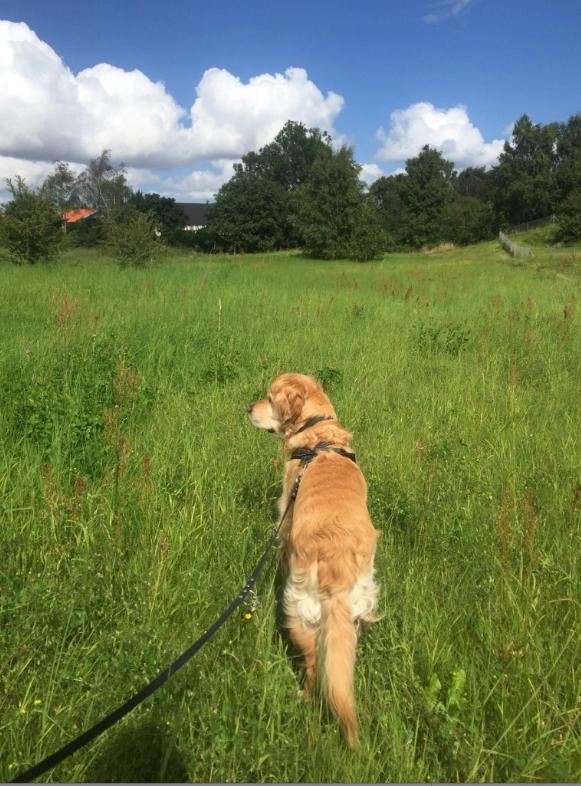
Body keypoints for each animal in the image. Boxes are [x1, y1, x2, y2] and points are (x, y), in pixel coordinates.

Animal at [247, 372, 378, 740]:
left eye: (268, 399)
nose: (248, 407)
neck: (319, 436)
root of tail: (337, 569)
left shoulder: (284, 512)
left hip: (297, 611)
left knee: (314, 665)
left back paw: (304, 696)